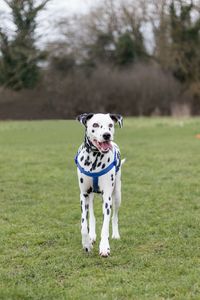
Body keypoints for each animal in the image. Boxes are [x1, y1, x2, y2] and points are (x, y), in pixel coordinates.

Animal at [75, 112, 125, 258]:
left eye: (110, 125)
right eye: (95, 125)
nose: (107, 135)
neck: (94, 158)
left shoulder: (107, 197)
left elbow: (105, 226)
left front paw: (104, 247)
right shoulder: (83, 195)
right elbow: (83, 224)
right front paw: (86, 244)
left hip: (117, 195)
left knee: (114, 217)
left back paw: (115, 234)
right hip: (90, 198)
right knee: (91, 216)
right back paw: (91, 236)